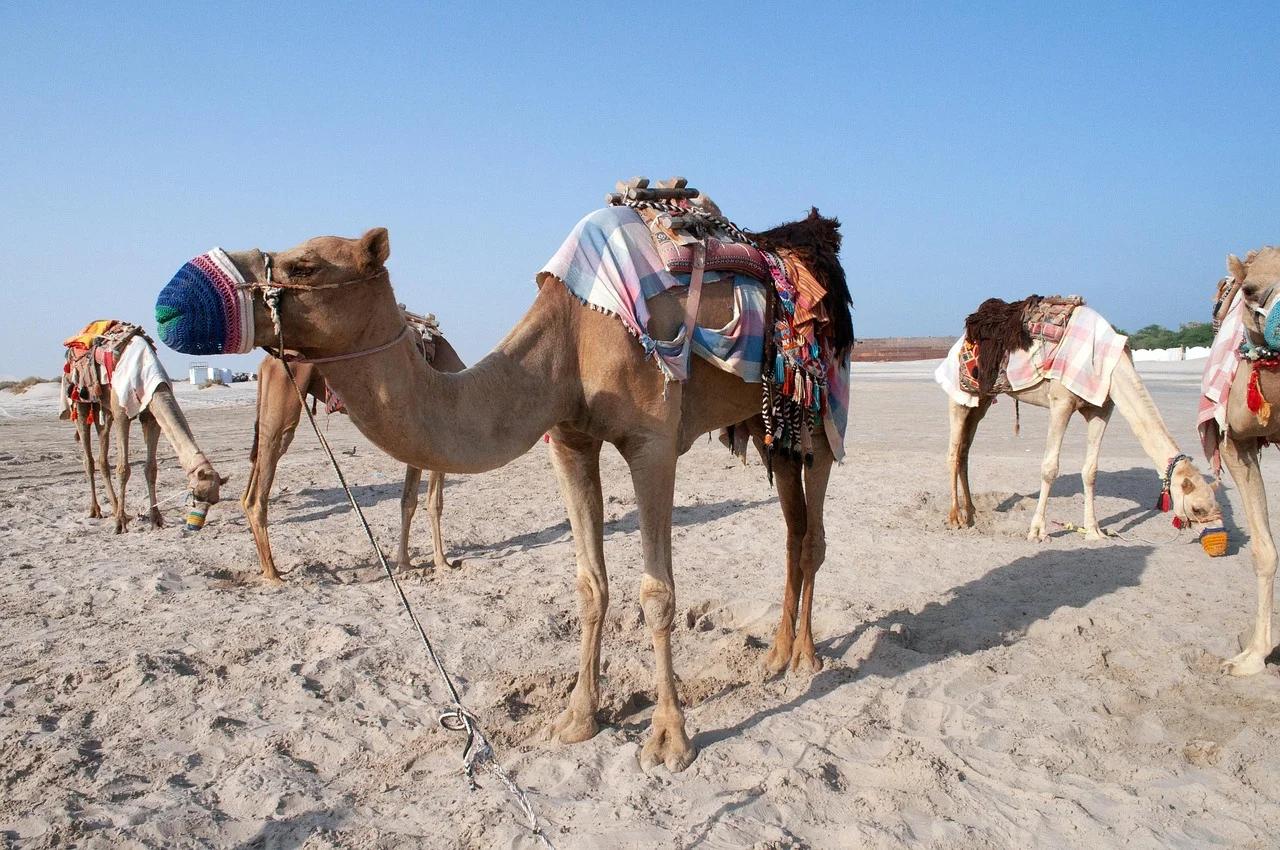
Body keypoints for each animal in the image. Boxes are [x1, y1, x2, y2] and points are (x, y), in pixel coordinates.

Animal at [62, 330, 227, 533]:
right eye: (196, 495)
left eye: (215, 500)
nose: (196, 526)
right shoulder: (122, 413)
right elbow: (123, 469)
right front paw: (119, 525)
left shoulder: (151, 417)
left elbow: (151, 469)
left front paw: (156, 519)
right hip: (81, 401)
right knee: (88, 457)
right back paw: (97, 510)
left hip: (104, 409)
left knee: (102, 453)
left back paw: (117, 509)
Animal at [244, 327, 466, 584]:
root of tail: (266, 362)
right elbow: (433, 503)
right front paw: (441, 563)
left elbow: (409, 501)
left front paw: (404, 564)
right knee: (264, 479)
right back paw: (273, 573)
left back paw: (265, 567)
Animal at [943, 302, 1221, 541]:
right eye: (1198, 509)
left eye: (1215, 505)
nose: (1215, 533)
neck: (1112, 364)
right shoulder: (1061, 402)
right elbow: (1050, 468)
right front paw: (1037, 531)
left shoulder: (1101, 409)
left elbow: (1091, 471)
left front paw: (1094, 531)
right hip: (960, 395)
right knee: (954, 451)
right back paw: (955, 518)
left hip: (982, 400)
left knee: (965, 451)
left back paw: (972, 512)